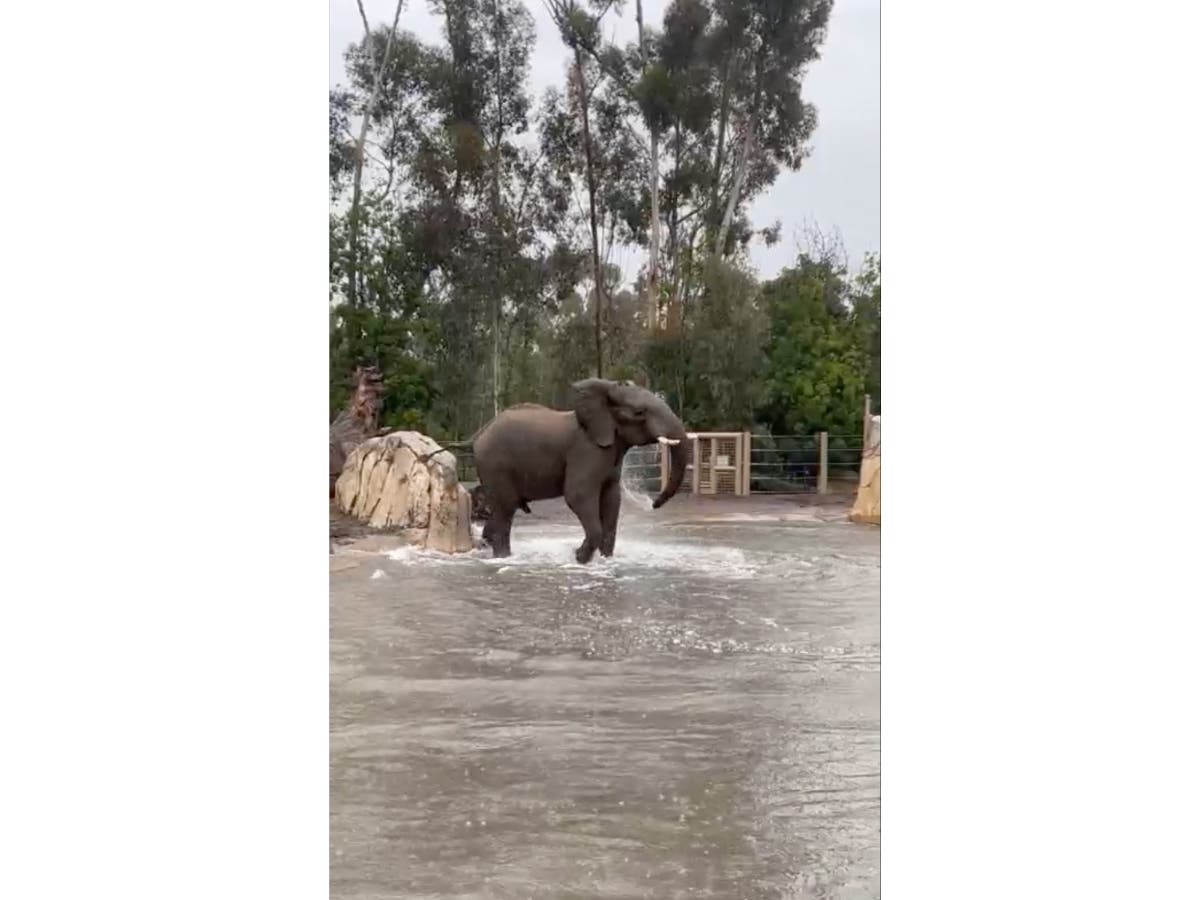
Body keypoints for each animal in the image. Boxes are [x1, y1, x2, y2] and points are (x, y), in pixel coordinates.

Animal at [471, 379, 690, 563]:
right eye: (639, 412)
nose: (653, 504)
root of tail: (481, 433)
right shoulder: (587, 450)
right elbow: (578, 495)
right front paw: (579, 558)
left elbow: (611, 498)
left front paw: (605, 559)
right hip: (496, 465)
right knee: (505, 508)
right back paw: (503, 558)